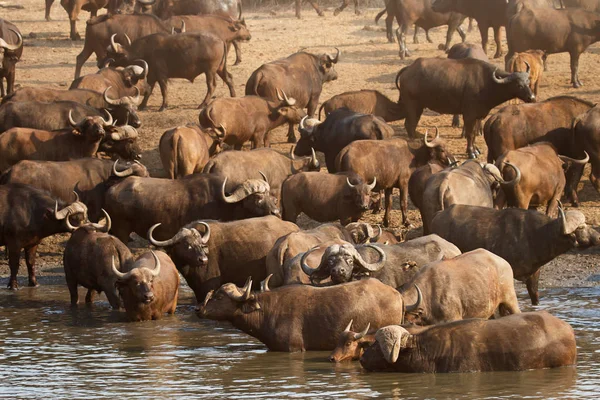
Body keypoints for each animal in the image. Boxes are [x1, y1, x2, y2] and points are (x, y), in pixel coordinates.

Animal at [432, 203, 600, 304]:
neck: (537, 235)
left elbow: (535, 296)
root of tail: (438, 215)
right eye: (581, 227)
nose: (598, 237)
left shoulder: (534, 274)